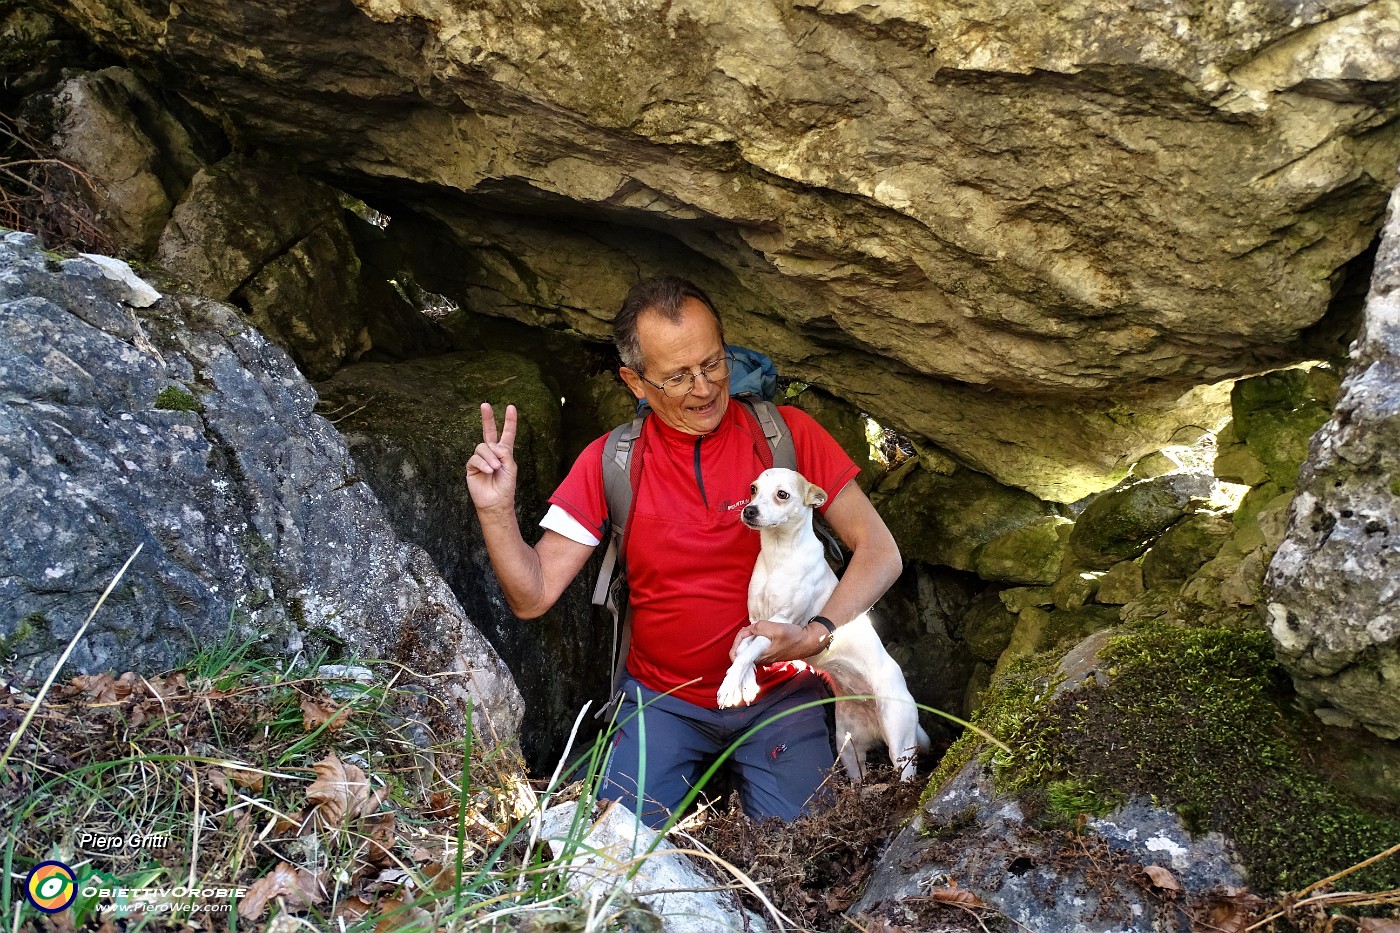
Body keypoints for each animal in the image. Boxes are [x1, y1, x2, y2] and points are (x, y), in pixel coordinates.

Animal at [722, 465, 929, 778]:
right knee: (859, 779)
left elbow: (749, 651)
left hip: (899, 743)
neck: (779, 555)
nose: (749, 510)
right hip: (849, 748)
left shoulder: (780, 624)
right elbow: (745, 649)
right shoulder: (756, 620)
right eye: (753, 489)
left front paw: (729, 685)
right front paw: (745, 684)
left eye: (782, 494)